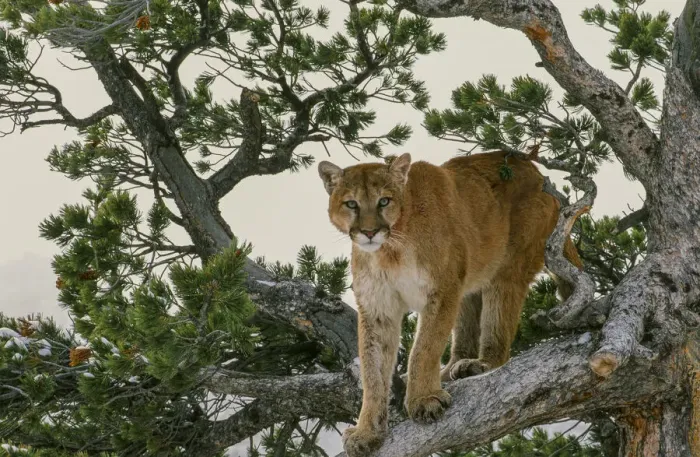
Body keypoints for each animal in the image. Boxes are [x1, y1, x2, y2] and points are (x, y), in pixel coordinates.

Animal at [317, 150, 582, 456]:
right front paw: (367, 432)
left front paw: (422, 400)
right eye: (351, 203)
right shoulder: (377, 309)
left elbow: (424, 348)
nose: (369, 232)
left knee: (498, 336)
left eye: (384, 201)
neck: (390, 250)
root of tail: (535, 171)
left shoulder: (441, 291)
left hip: (507, 268)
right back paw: (451, 371)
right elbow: (373, 372)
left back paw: (480, 364)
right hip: (467, 282)